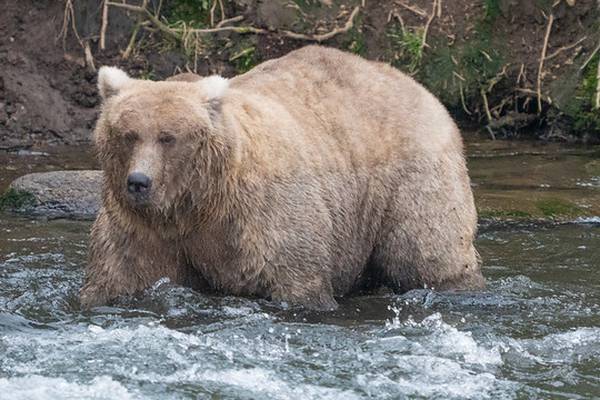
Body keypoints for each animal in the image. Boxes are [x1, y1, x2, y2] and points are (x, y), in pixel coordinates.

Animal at [79, 45, 486, 310]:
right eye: (128, 134)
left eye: (168, 137)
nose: (139, 182)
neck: (199, 202)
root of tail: (418, 86)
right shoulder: (143, 228)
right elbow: (121, 274)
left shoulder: (263, 215)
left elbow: (296, 277)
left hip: (411, 177)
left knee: (427, 251)